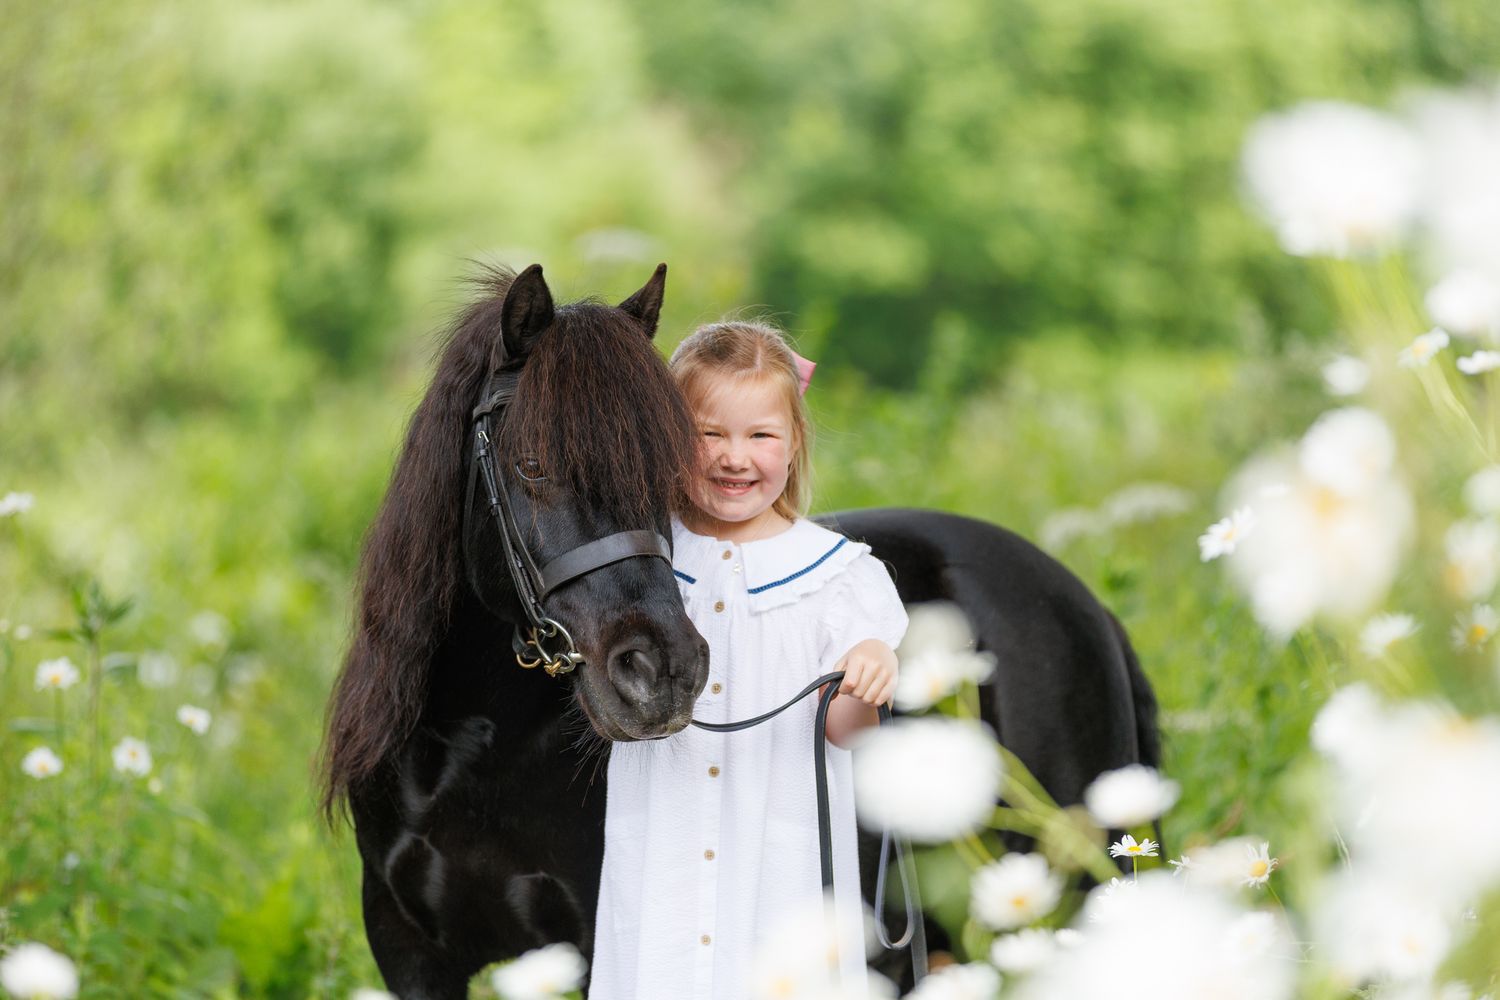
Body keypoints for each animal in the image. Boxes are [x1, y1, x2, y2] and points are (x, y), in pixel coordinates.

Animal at [319, 264, 1159, 999]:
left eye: (666, 470)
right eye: (530, 463)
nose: (660, 675)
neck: (473, 745)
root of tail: (1081, 604)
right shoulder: (412, 954)